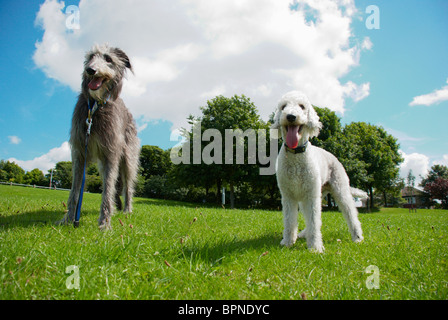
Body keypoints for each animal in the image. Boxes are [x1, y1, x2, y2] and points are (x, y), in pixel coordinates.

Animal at [58, 44, 140, 230]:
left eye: (108, 59)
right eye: (90, 57)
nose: (90, 70)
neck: (96, 107)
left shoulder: (111, 152)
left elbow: (108, 189)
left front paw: (104, 224)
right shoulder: (80, 151)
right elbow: (75, 190)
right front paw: (68, 219)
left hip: (128, 157)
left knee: (127, 185)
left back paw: (127, 209)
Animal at [272, 91, 366, 254]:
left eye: (302, 106)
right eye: (283, 107)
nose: (290, 116)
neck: (296, 155)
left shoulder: (311, 196)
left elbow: (314, 221)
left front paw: (315, 247)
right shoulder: (288, 196)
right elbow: (290, 220)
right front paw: (288, 242)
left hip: (340, 189)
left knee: (351, 213)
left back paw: (358, 237)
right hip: (310, 195)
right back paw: (303, 234)